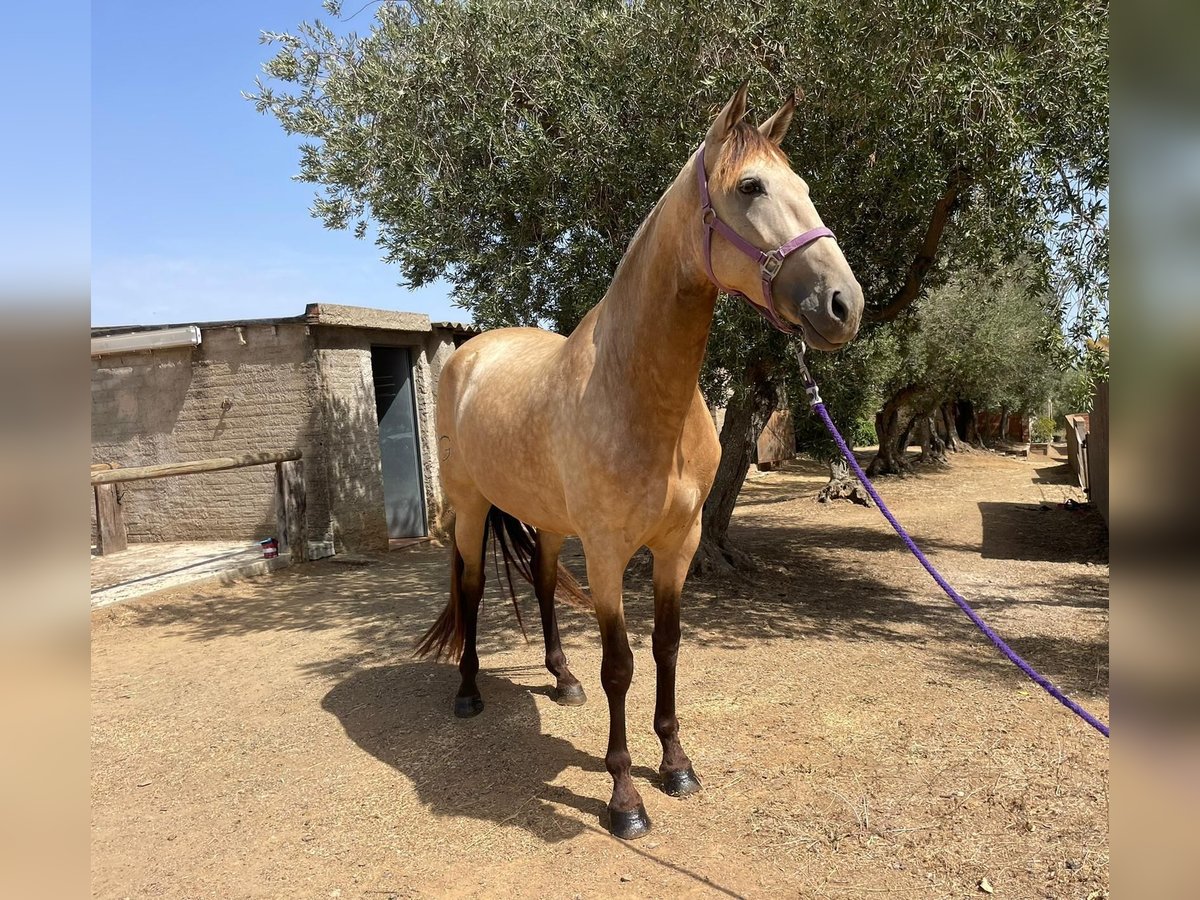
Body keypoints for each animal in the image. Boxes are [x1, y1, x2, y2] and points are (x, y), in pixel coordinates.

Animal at [415, 81, 864, 844]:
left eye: (804, 186)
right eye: (750, 186)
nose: (843, 304)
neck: (638, 391)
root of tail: (469, 352)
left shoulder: (677, 544)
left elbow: (668, 648)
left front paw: (677, 764)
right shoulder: (607, 552)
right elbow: (621, 666)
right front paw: (625, 796)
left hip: (547, 520)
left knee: (541, 583)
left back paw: (561, 680)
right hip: (472, 507)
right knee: (471, 591)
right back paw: (469, 693)